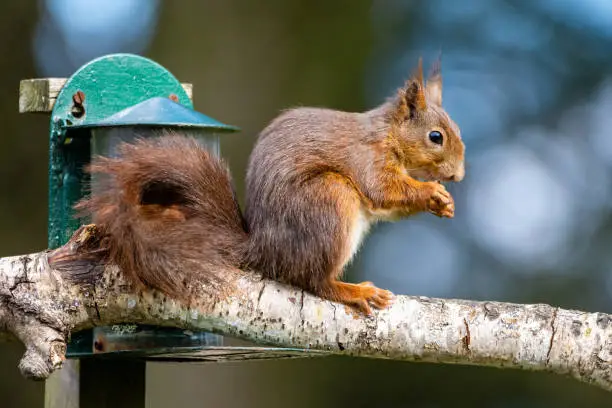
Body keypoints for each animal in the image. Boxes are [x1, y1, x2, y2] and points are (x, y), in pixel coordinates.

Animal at [75, 58, 464, 316]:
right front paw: (430, 192)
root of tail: (264, 251)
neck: (388, 134)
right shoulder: (368, 158)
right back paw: (351, 291)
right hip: (329, 199)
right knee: (312, 281)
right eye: (436, 137)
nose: (459, 176)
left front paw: (444, 202)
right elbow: (383, 190)